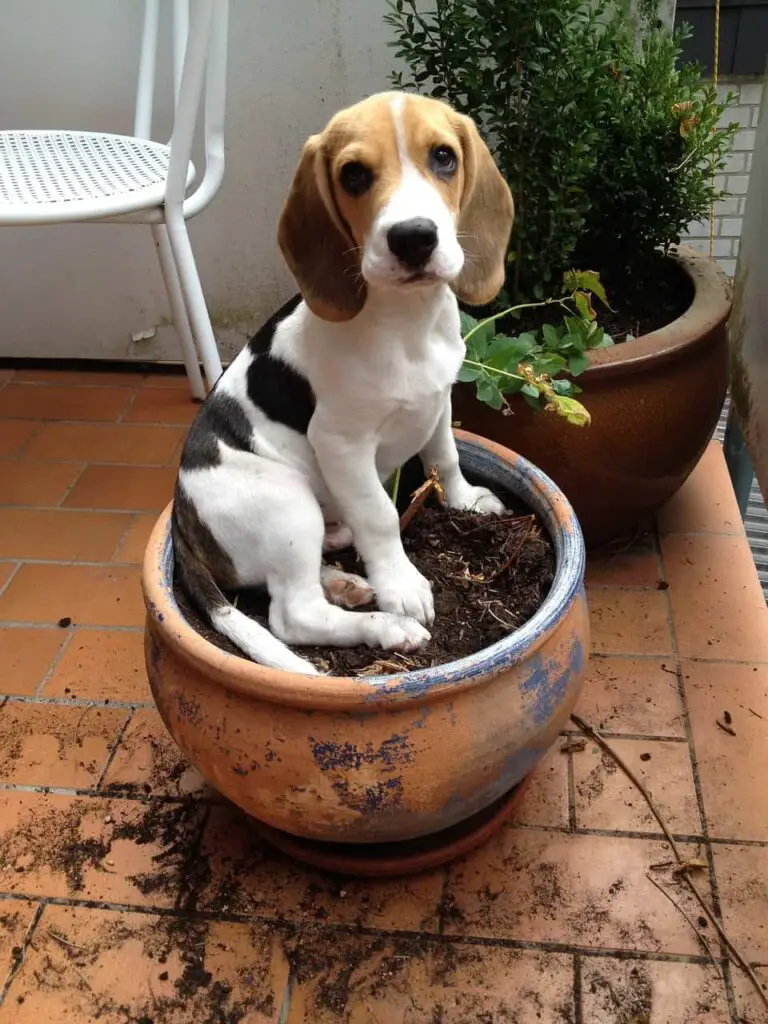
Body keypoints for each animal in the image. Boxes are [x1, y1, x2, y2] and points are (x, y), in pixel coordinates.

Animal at [171, 90, 514, 671]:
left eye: (444, 157)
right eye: (353, 175)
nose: (413, 238)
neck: (405, 322)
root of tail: (179, 519)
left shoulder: (440, 402)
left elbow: (444, 456)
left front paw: (464, 500)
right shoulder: (342, 444)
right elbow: (379, 515)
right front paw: (401, 586)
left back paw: (346, 581)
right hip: (288, 505)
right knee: (293, 615)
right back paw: (386, 626)